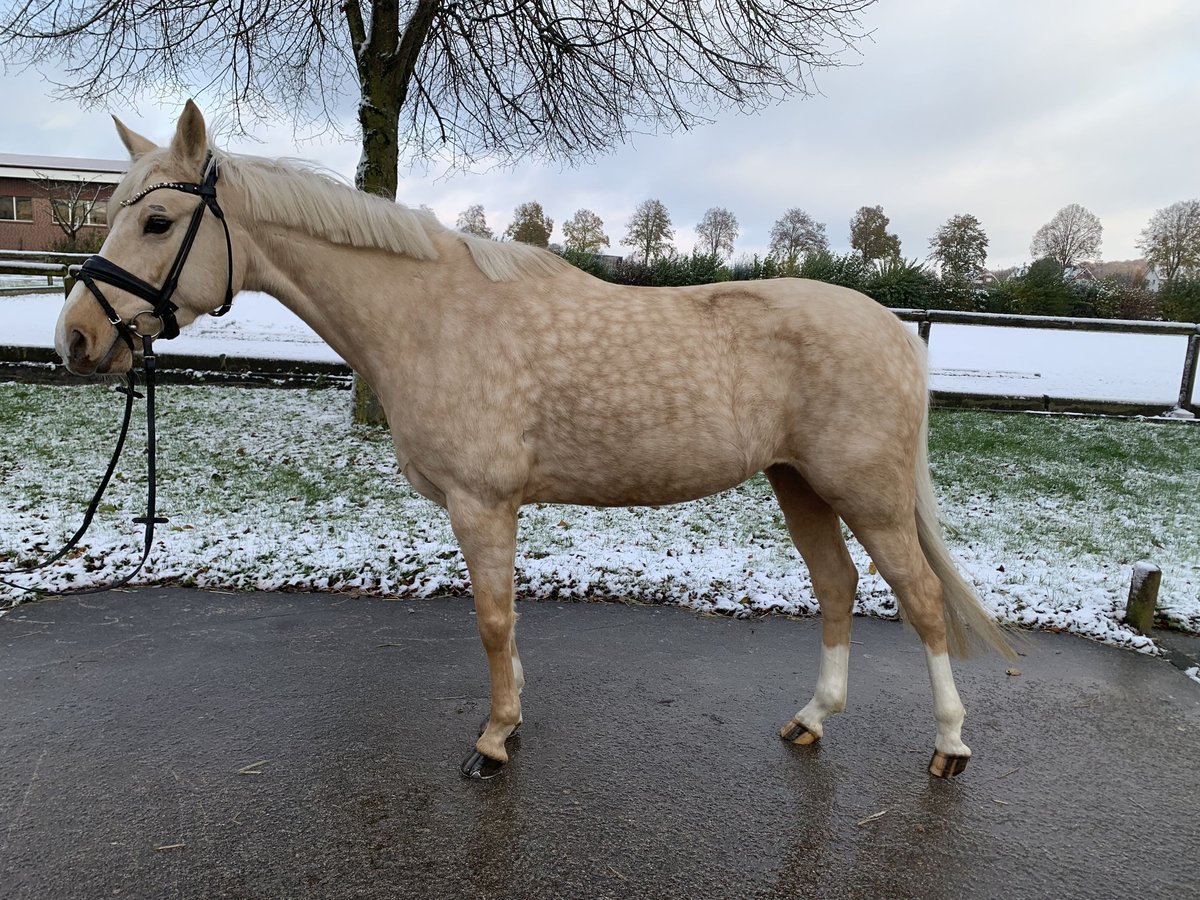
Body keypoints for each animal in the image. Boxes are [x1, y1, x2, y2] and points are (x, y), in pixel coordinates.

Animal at [58, 102, 1012, 782]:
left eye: (155, 223)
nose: (76, 339)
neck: (431, 317)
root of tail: (895, 329)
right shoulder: (496, 507)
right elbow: (507, 620)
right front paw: (512, 720)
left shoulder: (480, 503)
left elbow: (490, 620)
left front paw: (492, 741)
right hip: (798, 482)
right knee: (839, 587)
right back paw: (812, 721)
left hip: (866, 492)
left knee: (923, 600)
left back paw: (950, 746)